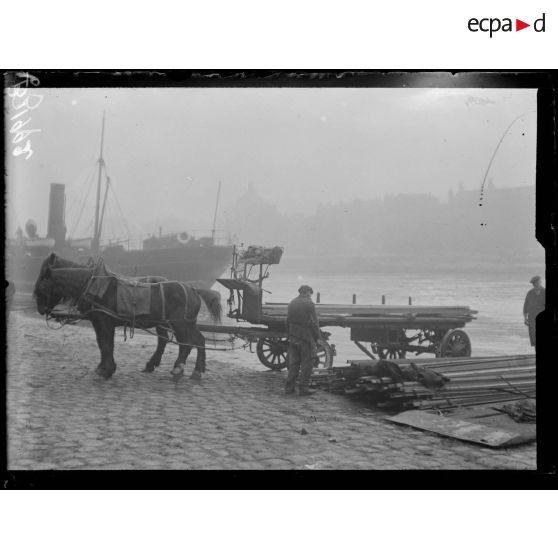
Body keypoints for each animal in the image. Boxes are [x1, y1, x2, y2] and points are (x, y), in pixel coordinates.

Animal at [33, 254, 223, 380]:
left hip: (180, 324)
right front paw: (103, 368)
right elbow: (102, 345)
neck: (94, 284)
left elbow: (107, 345)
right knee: (198, 341)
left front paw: (107, 370)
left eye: (42, 284)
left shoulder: (105, 322)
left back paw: (178, 368)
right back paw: (196, 370)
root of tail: (193, 289)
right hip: (185, 323)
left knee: (186, 344)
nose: (41, 310)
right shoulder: (97, 322)